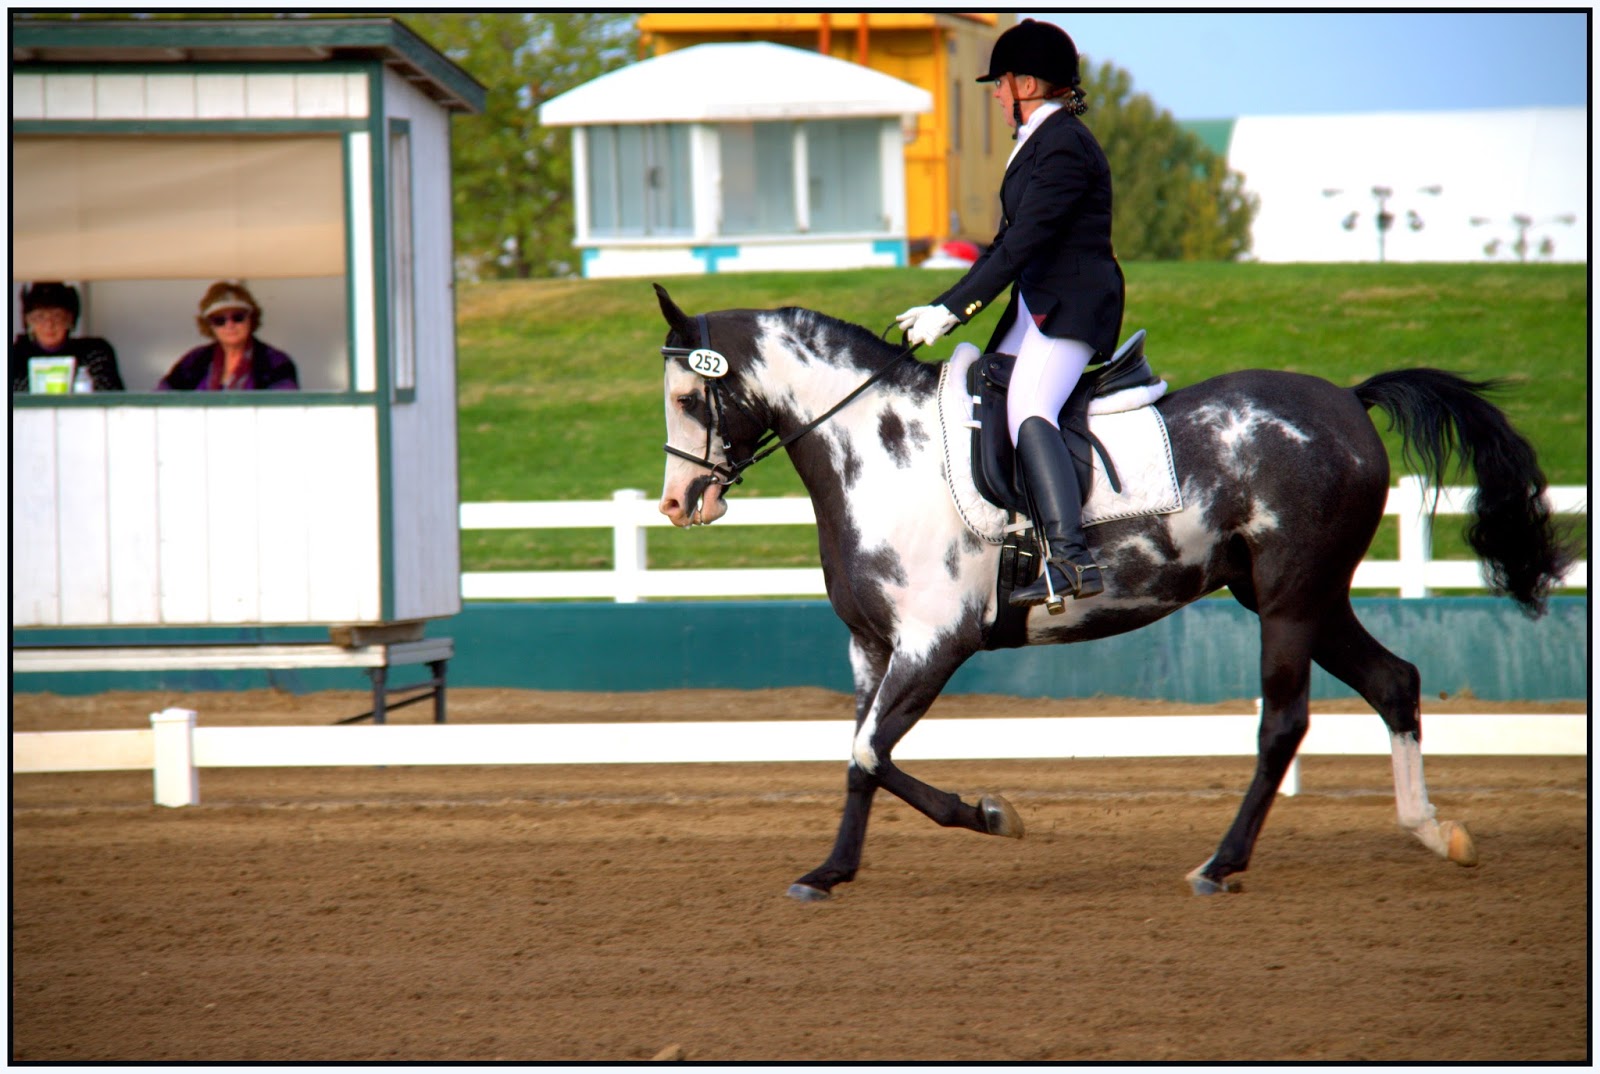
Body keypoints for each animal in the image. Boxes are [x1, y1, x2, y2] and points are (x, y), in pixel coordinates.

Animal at [651, 283, 1571, 898]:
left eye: (692, 395)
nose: (679, 503)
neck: (881, 452)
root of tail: (1346, 399)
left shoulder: (935, 642)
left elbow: (873, 751)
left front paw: (994, 815)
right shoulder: (871, 646)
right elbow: (857, 757)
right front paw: (831, 870)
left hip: (1289, 601)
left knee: (1283, 723)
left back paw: (1220, 865)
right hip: (1304, 598)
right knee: (1393, 683)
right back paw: (1433, 833)